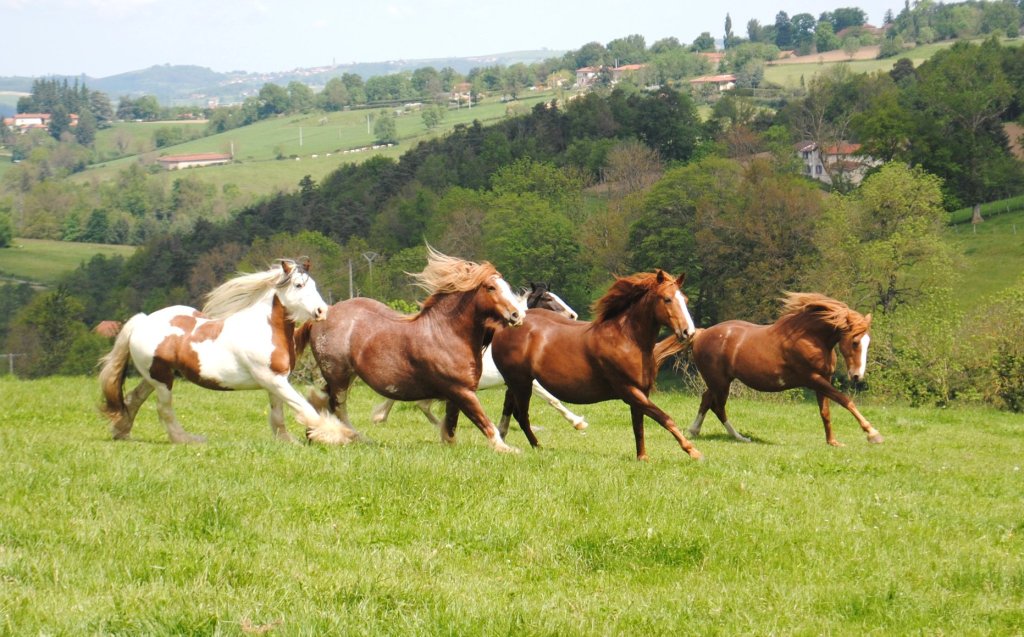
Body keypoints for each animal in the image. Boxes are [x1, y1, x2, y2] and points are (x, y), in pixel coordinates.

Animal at [99, 259, 359, 445]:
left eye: (313, 285)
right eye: (298, 285)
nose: (321, 311)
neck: (265, 328)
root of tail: (142, 321)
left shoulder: (276, 381)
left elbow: (278, 415)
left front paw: (288, 441)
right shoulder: (272, 379)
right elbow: (305, 409)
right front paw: (340, 435)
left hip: (156, 376)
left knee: (133, 398)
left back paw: (121, 432)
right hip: (162, 380)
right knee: (164, 410)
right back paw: (189, 440)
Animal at [294, 247, 528, 453]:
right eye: (491, 287)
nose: (517, 315)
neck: (446, 333)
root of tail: (321, 316)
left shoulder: (457, 393)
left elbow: (451, 425)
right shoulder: (461, 390)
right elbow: (483, 421)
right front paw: (508, 449)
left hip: (346, 375)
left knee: (322, 402)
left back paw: (319, 434)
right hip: (338, 375)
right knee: (337, 407)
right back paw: (347, 436)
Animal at [369, 281, 589, 431]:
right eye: (548, 298)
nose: (573, 315)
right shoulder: (526, 381)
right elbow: (552, 400)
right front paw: (578, 422)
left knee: (418, 403)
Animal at [490, 270, 702, 461]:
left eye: (685, 299)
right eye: (667, 299)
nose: (688, 332)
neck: (627, 340)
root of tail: (503, 328)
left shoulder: (641, 392)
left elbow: (639, 426)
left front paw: (642, 457)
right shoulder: (629, 390)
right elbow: (665, 418)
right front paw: (694, 452)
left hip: (516, 383)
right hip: (521, 383)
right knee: (522, 415)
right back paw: (539, 447)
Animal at [654, 292, 882, 447]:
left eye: (868, 342)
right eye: (855, 342)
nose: (857, 376)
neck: (811, 338)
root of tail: (701, 334)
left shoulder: (823, 380)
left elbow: (825, 412)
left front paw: (832, 442)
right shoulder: (813, 378)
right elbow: (845, 400)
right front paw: (873, 433)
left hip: (720, 381)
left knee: (706, 400)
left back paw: (697, 431)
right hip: (720, 382)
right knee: (717, 406)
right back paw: (739, 437)